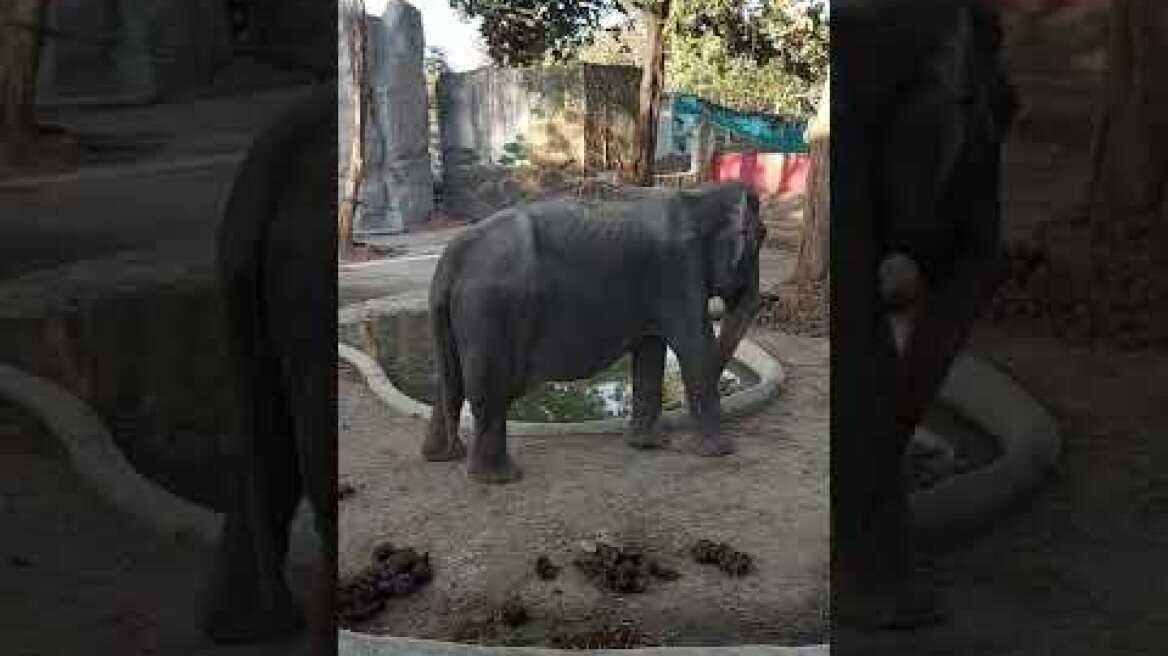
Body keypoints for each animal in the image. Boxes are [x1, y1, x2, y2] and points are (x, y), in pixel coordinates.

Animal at [421, 181, 767, 483]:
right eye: (760, 239)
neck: (698, 196)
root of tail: (451, 259)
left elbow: (651, 349)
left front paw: (648, 446)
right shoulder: (679, 272)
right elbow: (696, 345)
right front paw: (720, 452)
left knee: (448, 379)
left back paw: (442, 457)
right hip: (492, 310)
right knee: (488, 388)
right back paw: (499, 478)